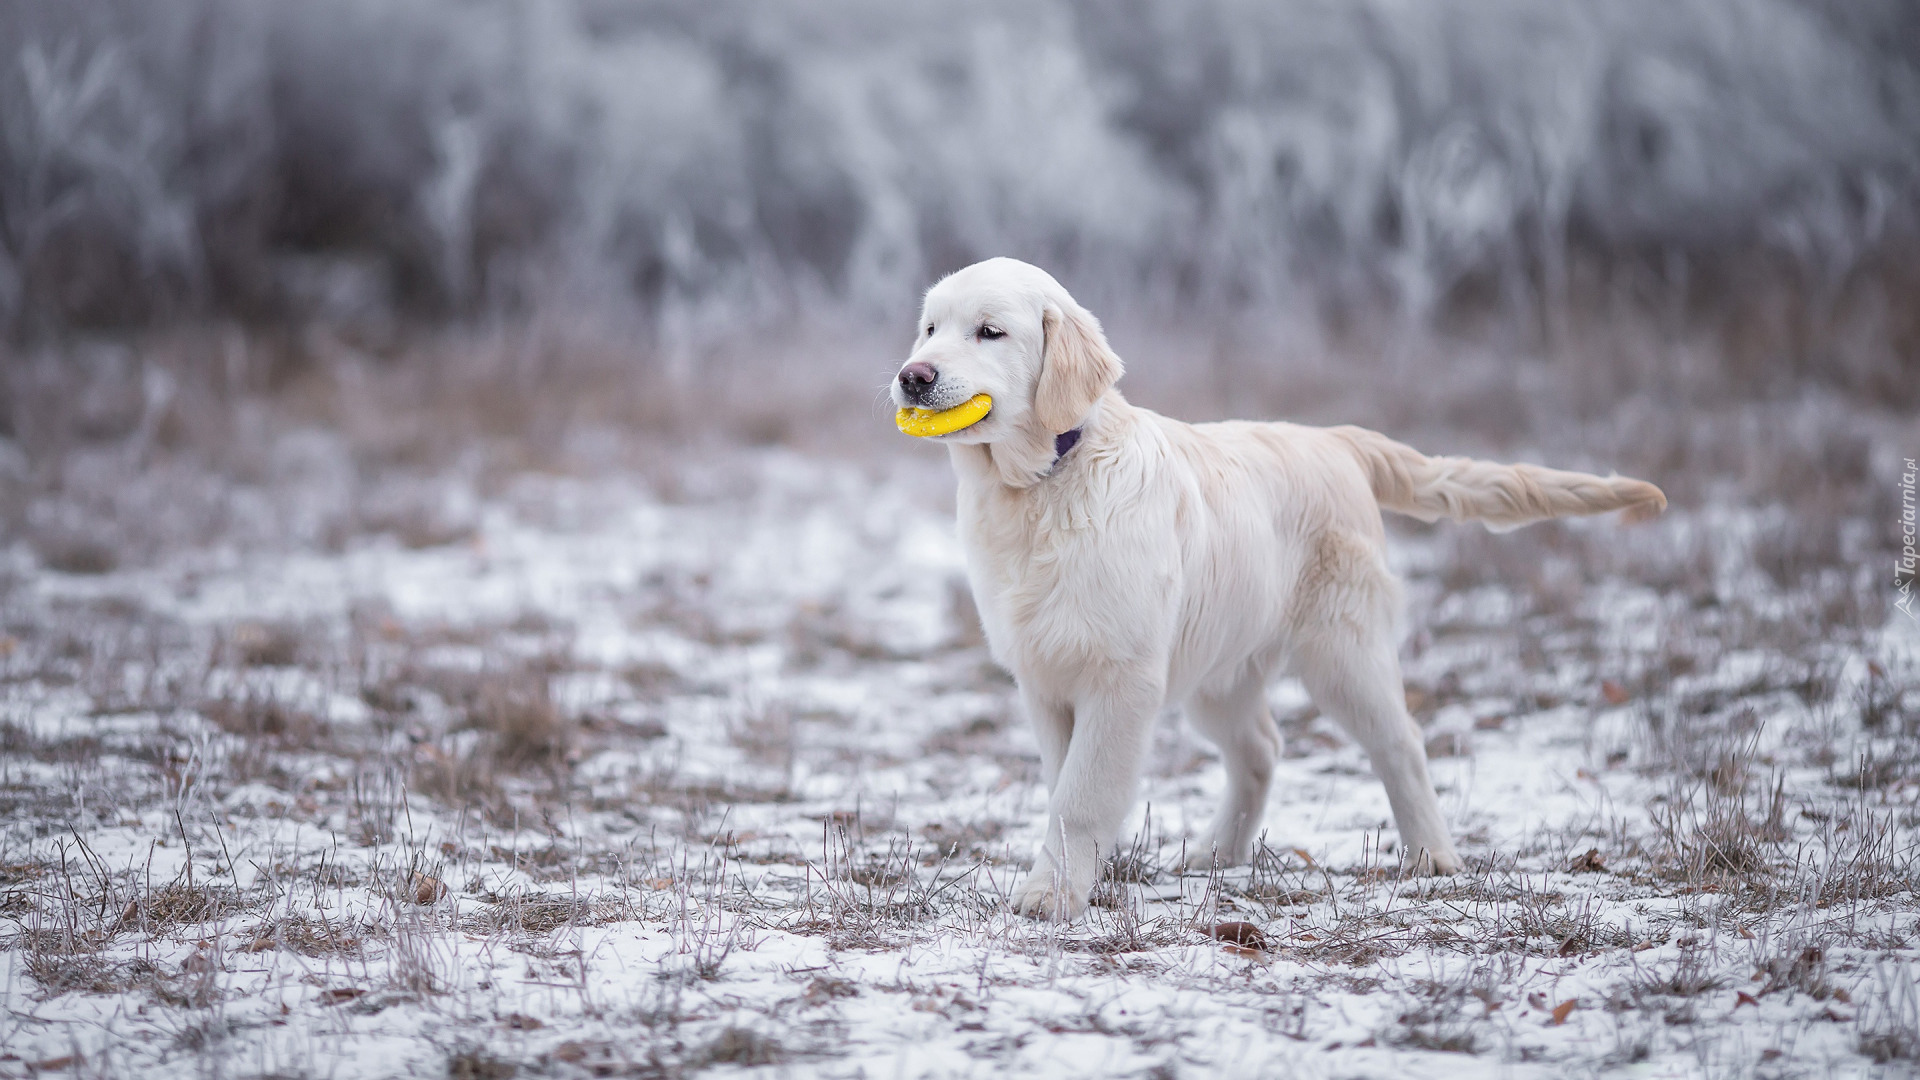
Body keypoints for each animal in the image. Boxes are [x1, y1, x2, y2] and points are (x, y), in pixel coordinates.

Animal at [890, 255, 1658, 910]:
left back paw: (1431, 857)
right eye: (930, 327)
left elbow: (1079, 796)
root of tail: (1338, 440)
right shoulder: (1044, 679)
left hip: (1342, 651)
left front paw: (1049, 896)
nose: (913, 375)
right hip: (1219, 665)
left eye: (990, 331)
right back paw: (1216, 854)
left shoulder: (1119, 675)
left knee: (1400, 740)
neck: (1043, 483)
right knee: (1260, 749)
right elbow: (1061, 786)